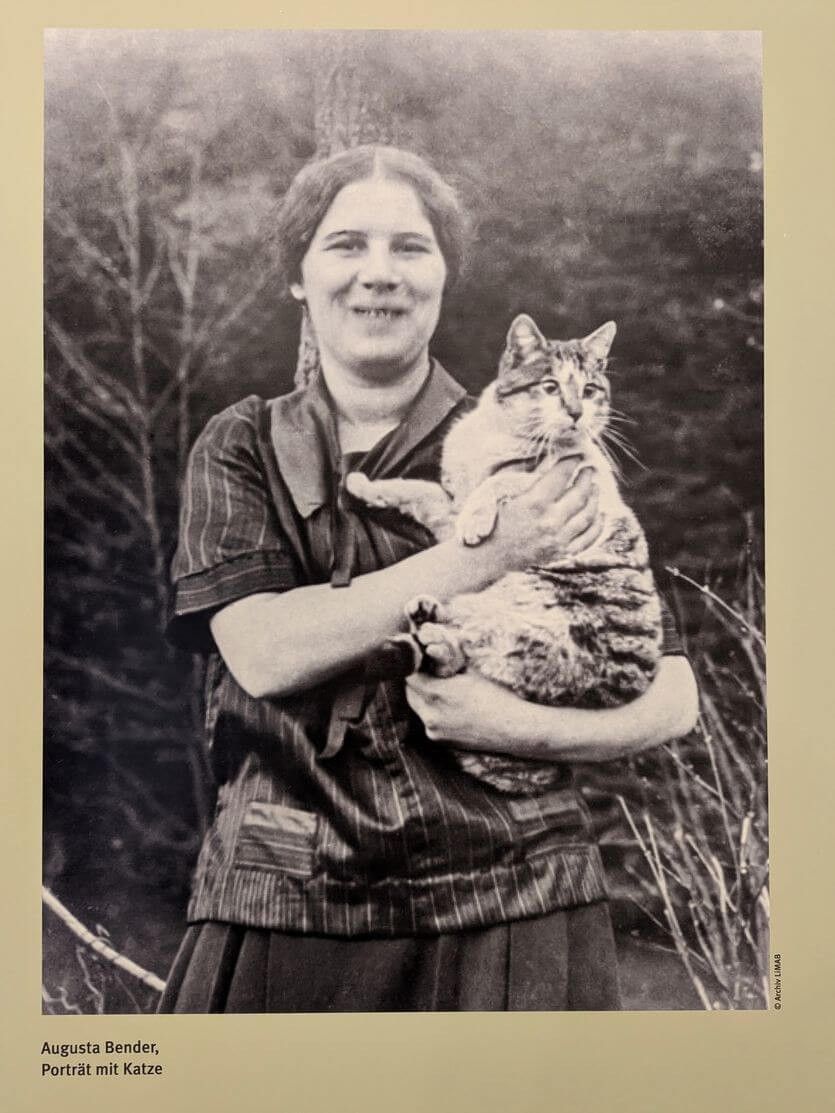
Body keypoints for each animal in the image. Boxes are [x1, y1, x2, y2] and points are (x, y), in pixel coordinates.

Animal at [346, 314, 662, 794]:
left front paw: (478, 520)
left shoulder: (559, 475)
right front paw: (364, 484)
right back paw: (427, 620)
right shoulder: (446, 503)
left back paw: (433, 631)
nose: (576, 412)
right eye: (550, 386)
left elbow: (500, 480)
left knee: (472, 650)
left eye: (590, 390)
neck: (500, 431)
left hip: (520, 624)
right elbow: (417, 490)